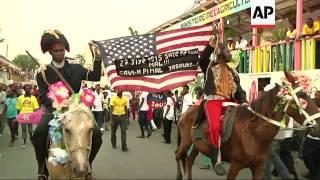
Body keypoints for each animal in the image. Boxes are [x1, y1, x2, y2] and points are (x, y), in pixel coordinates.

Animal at [176, 71, 320, 180]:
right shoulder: (235, 166)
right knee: (178, 155)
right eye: (302, 95)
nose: (318, 125)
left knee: (189, 161)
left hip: (196, 145)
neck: (253, 133)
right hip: (186, 142)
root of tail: (186, 112)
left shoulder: (258, 168)